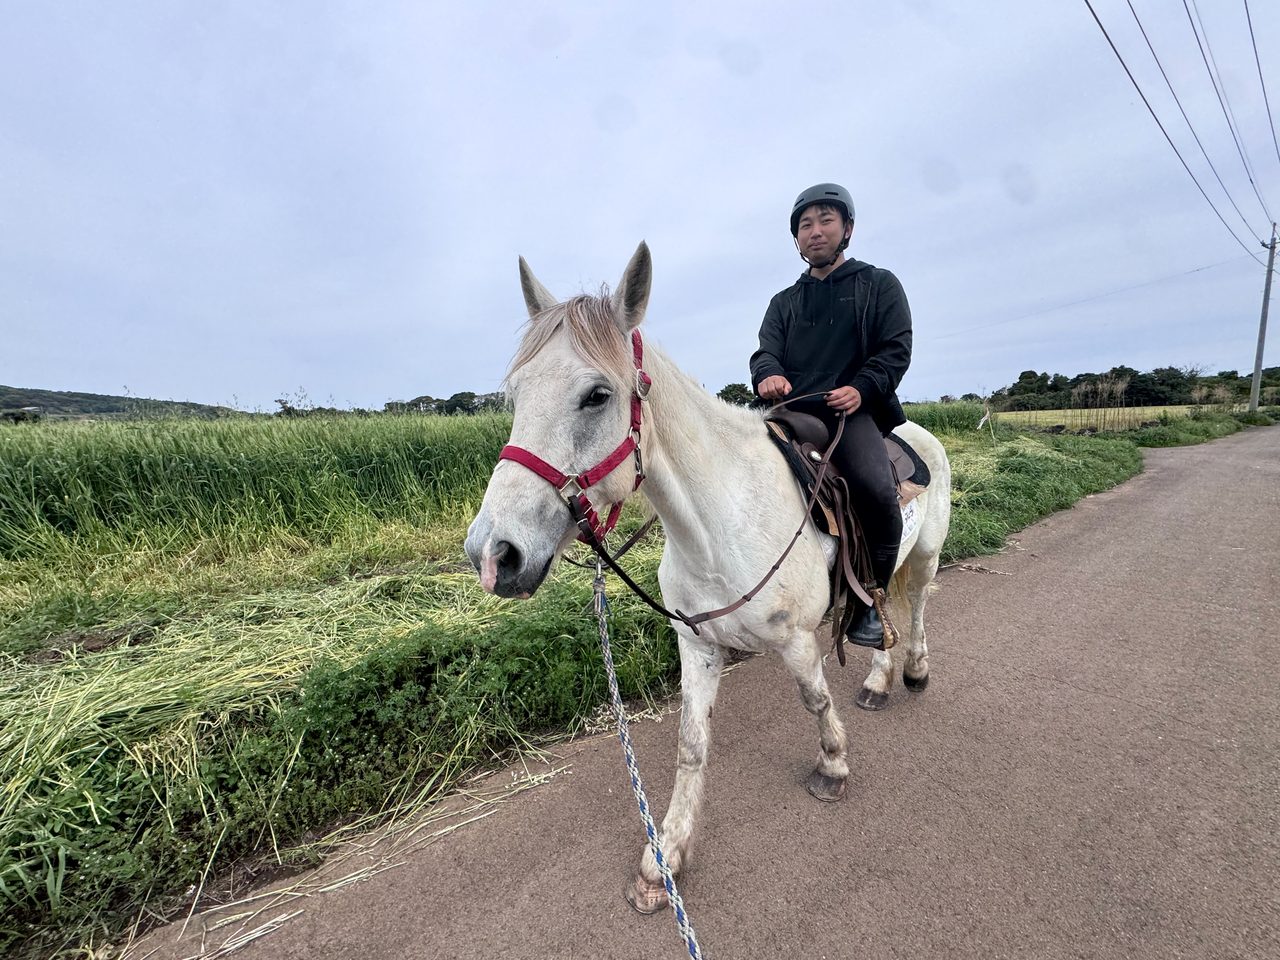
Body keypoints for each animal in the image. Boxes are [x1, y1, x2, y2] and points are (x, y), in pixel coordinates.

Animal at [465, 242, 952, 913]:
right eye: (515, 395)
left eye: (596, 395)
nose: (493, 554)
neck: (719, 524)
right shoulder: (696, 644)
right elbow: (691, 744)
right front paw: (665, 855)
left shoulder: (797, 640)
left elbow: (815, 699)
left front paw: (832, 768)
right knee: (882, 609)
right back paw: (879, 679)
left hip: (924, 555)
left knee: (917, 607)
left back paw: (913, 670)